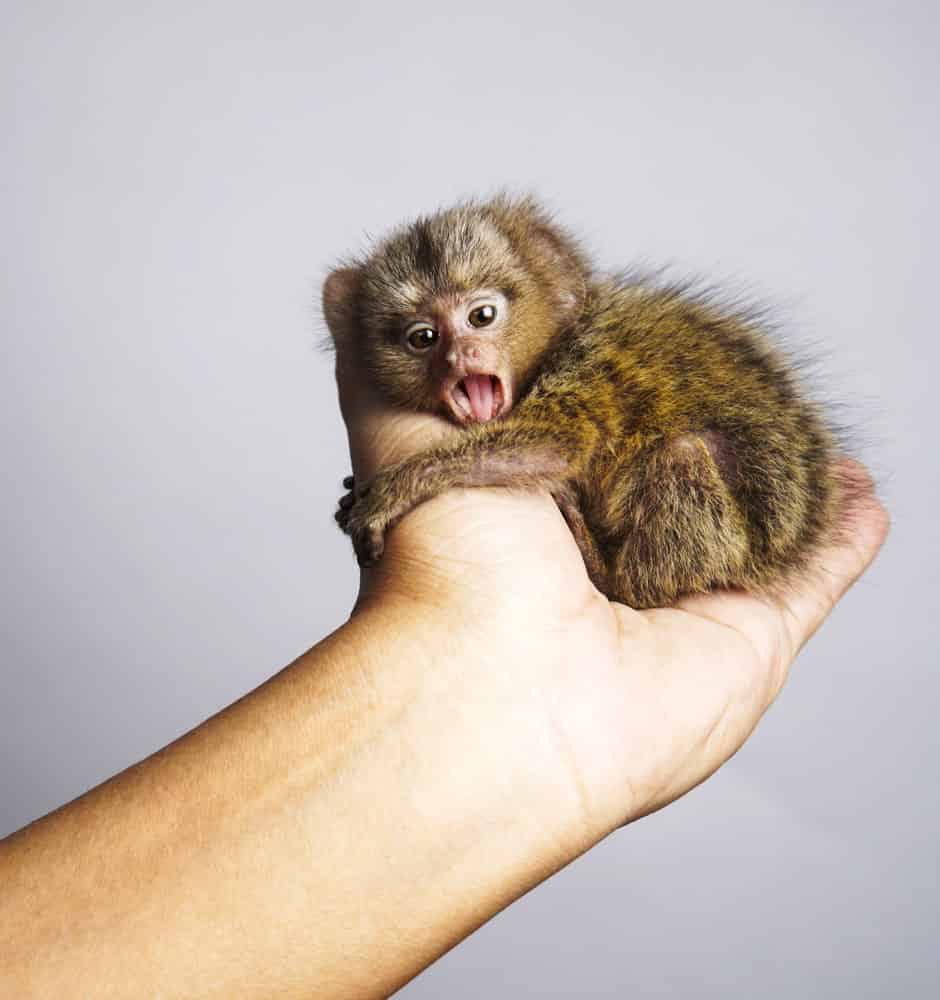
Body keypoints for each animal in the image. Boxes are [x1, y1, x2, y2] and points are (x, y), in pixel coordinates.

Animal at [326, 191, 840, 604]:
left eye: (482, 316)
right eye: (423, 338)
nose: (460, 355)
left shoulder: (587, 365)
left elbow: (557, 443)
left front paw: (398, 487)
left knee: (682, 456)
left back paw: (607, 577)